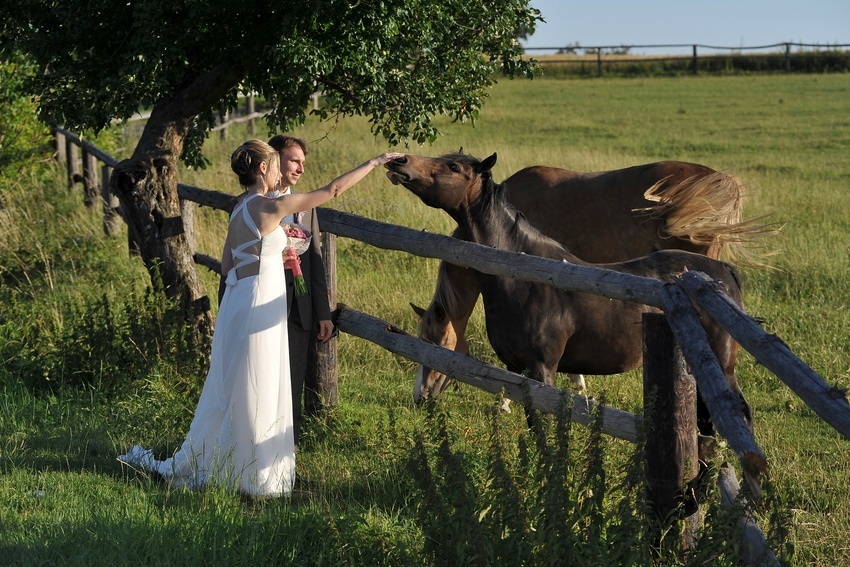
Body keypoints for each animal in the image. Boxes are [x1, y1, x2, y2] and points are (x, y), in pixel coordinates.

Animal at [384, 151, 748, 434]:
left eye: (453, 167)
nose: (400, 161)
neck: (519, 275)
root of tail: (721, 273)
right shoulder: (515, 366)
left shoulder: (541, 370)